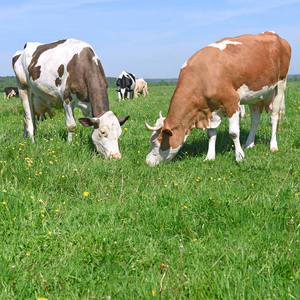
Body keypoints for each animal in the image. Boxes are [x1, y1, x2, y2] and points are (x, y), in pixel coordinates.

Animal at [145, 32, 290, 166]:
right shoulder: (209, 110)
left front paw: (239, 156)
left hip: (280, 85)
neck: (201, 76)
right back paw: (249, 144)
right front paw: (209, 157)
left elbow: (234, 133)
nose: (147, 162)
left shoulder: (232, 101)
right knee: (255, 120)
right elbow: (211, 134)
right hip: (254, 95)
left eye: (155, 142)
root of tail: (274, 34)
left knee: (273, 118)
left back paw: (273, 145)